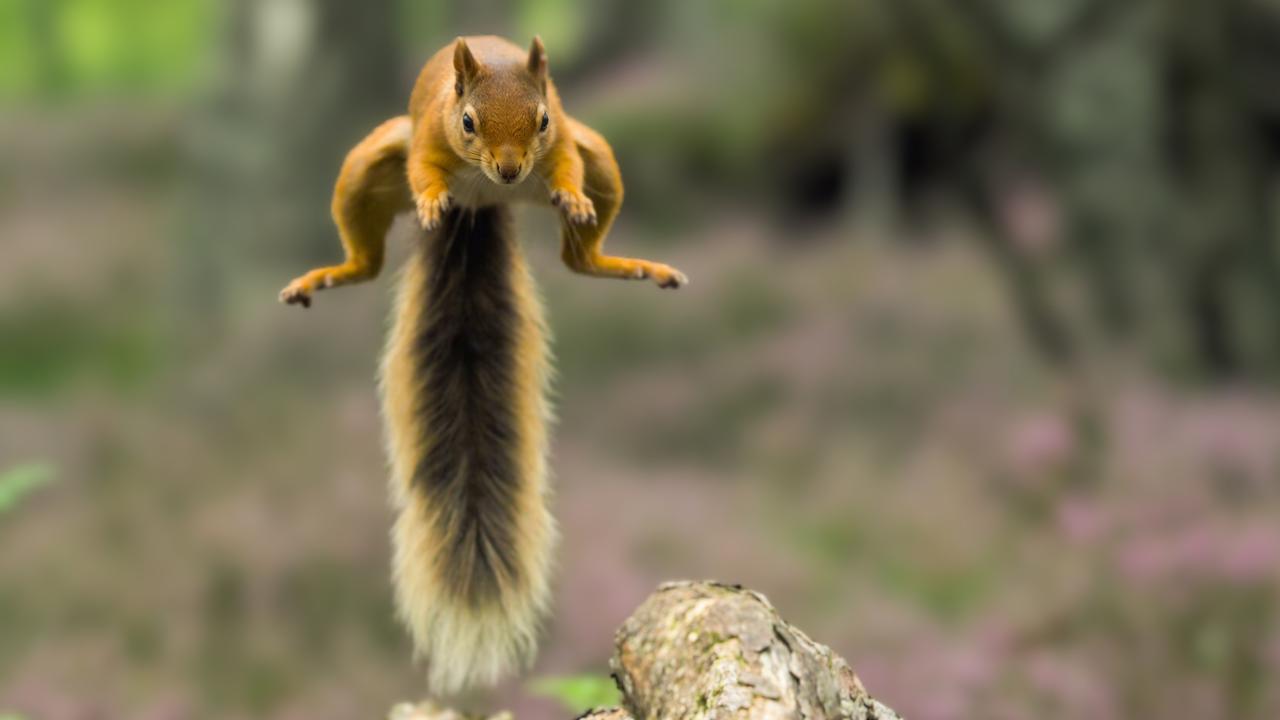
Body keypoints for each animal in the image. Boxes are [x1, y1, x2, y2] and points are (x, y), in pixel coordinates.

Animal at [277, 36, 688, 694]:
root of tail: (483, 203)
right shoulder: (427, 137)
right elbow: (424, 170)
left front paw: (572, 195)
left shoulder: (565, 140)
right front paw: (429, 200)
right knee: (366, 261)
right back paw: (331, 272)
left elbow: (567, 166)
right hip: (368, 165)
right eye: (467, 121)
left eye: (541, 119)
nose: (512, 168)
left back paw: (626, 262)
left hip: (601, 158)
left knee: (581, 256)